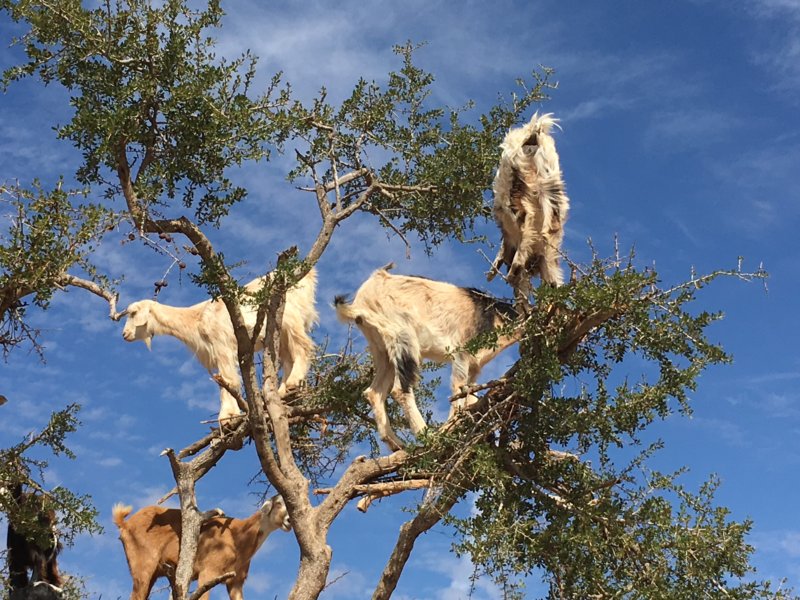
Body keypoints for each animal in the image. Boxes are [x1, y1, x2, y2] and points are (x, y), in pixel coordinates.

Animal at [112, 495, 291, 600]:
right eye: (278, 503)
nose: (289, 521)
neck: (238, 536)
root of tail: (125, 524)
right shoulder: (208, 573)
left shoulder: (236, 581)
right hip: (142, 565)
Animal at [120, 268, 318, 423]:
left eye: (134, 313)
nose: (124, 334)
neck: (197, 318)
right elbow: (222, 382)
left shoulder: (222, 346)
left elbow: (228, 381)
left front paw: (227, 417)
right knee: (288, 359)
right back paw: (283, 391)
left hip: (289, 319)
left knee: (303, 347)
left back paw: (292, 383)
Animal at [335, 264, 518, 451]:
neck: (495, 315)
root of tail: (360, 302)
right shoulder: (462, 354)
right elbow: (458, 391)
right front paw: (451, 429)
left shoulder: (474, 367)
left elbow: (470, 396)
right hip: (403, 336)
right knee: (400, 389)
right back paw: (428, 436)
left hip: (382, 349)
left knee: (374, 392)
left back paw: (398, 445)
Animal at [490, 112, 570, 292]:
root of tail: (533, 132)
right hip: (550, 178)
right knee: (552, 221)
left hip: (516, 182)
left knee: (528, 216)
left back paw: (515, 267)